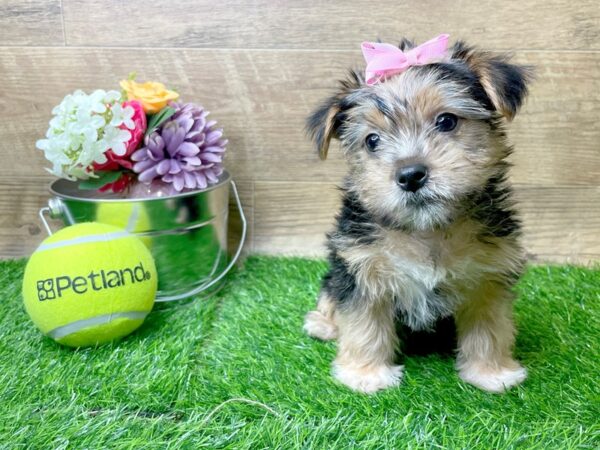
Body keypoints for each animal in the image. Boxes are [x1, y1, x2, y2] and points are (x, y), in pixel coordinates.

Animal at [304, 35, 528, 394]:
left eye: (446, 121)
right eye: (372, 140)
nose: (410, 175)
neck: (426, 230)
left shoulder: (489, 271)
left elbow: (489, 325)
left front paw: (491, 372)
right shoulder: (360, 267)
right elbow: (364, 323)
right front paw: (366, 375)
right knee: (330, 296)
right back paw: (323, 324)